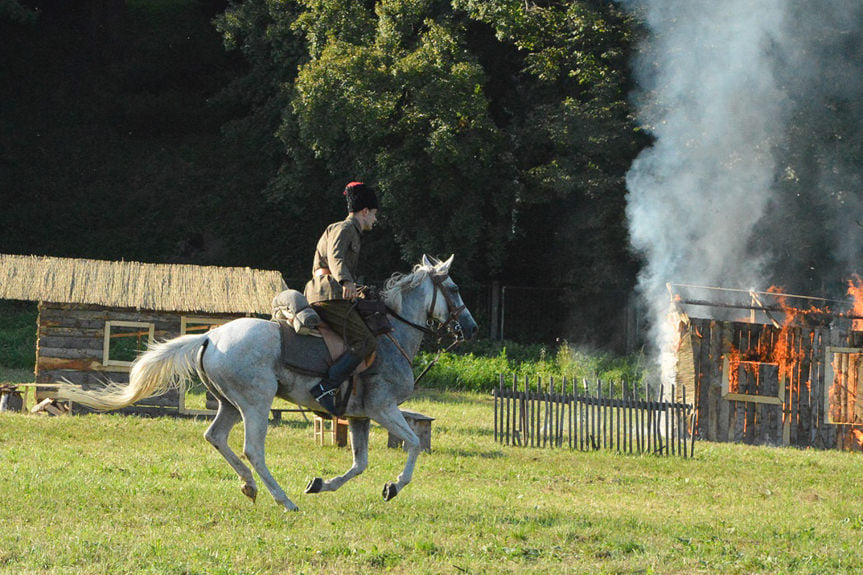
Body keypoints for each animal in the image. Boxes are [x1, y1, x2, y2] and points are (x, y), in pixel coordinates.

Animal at [55, 256, 480, 512]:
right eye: (455, 289)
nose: (471, 328)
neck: (391, 333)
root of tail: (210, 336)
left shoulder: (360, 417)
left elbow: (359, 464)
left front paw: (320, 484)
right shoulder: (383, 410)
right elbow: (412, 446)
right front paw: (394, 486)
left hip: (229, 403)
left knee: (216, 437)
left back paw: (250, 487)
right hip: (256, 404)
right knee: (252, 450)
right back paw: (283, 498)